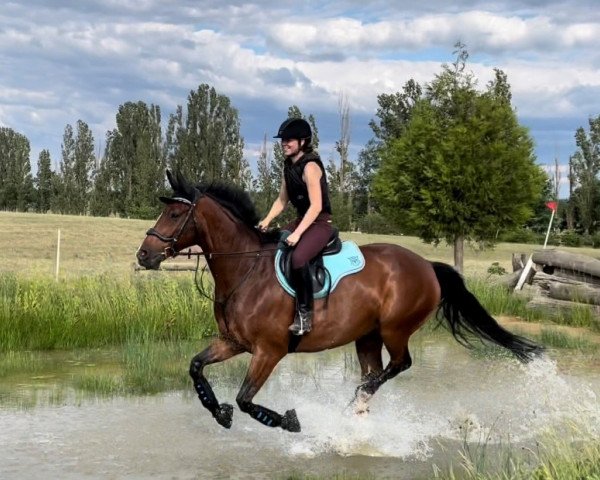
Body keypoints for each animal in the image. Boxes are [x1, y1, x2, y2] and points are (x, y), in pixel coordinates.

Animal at [136, 171, 544, 434]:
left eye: (175, 214)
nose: (144, 255)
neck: (244, 269)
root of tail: (427, 265)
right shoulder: (233, 342)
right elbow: (196, 368)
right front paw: (218, 412)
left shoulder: (269, 350)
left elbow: (245, 399)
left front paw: (288, 421)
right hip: (367, 336)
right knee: (374, 371)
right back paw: (358, 406)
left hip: (396, 328)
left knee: (399, 364)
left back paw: (356, 400)